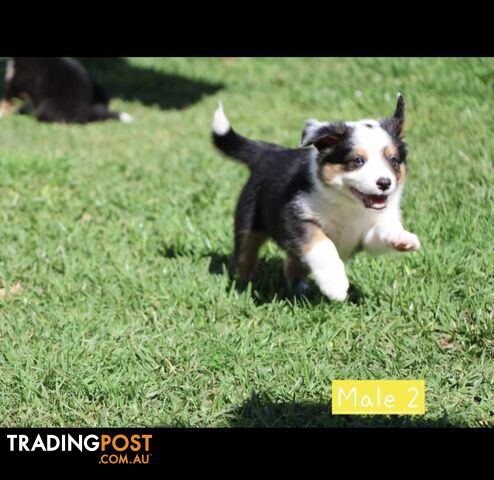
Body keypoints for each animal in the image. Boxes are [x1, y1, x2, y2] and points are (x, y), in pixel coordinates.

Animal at [211, 95, 420, 302]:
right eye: (358, 160)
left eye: (393, 160)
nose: (385, 183)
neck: (348, 203)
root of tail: (269, 153)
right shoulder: (295, 216)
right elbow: (323, 244)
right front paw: (335, 286)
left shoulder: (365, 235)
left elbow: (382, 230)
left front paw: (403, 238)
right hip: (248, 221)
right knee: (244, 256)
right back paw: (241, 288)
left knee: (291, 263)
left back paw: (300, 288)